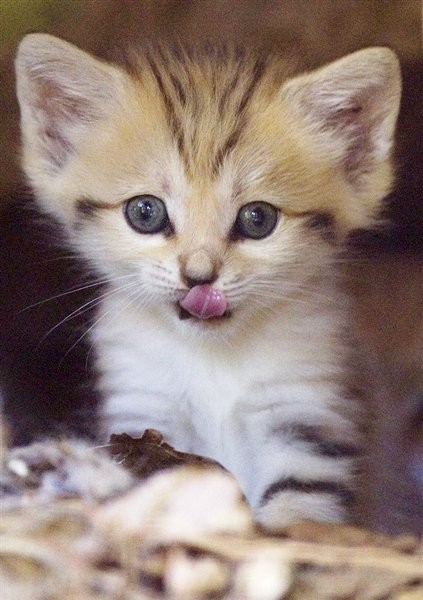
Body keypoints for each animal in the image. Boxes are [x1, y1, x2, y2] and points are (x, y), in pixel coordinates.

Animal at [15, 35, 400, 528]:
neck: (212, 358)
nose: (199, 276)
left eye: (258, 219)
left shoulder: (305, 415)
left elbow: (298, 512)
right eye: (145, 212)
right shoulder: (144, 410)